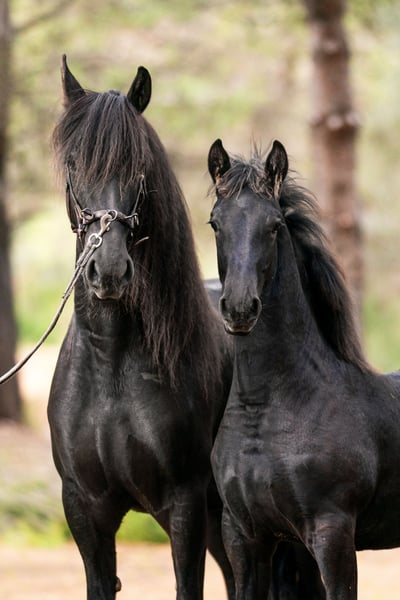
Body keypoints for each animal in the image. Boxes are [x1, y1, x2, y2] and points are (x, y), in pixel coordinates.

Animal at [48, 56, 236, 600]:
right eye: (75, 164)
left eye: (139, 168)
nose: (109, 272)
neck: (111, 366)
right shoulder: (85, 511)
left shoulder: (186, 507)